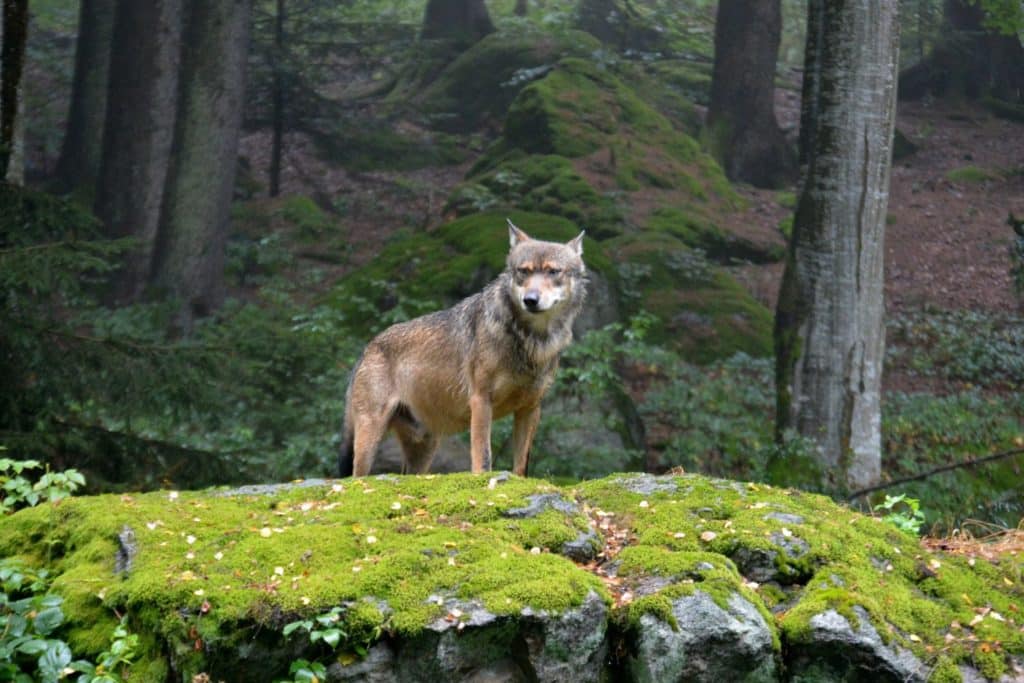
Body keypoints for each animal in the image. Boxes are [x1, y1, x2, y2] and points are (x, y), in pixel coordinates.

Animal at [339, 219, 587, 477]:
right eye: (524, 271)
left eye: (553, 271)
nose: (530, 299)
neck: (530, 340)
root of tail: (368, 348)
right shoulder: (480, 400)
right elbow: (483, 456)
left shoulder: (530, 408)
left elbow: (521, 465)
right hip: (370, 438)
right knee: (356, 477)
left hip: (423, 450)